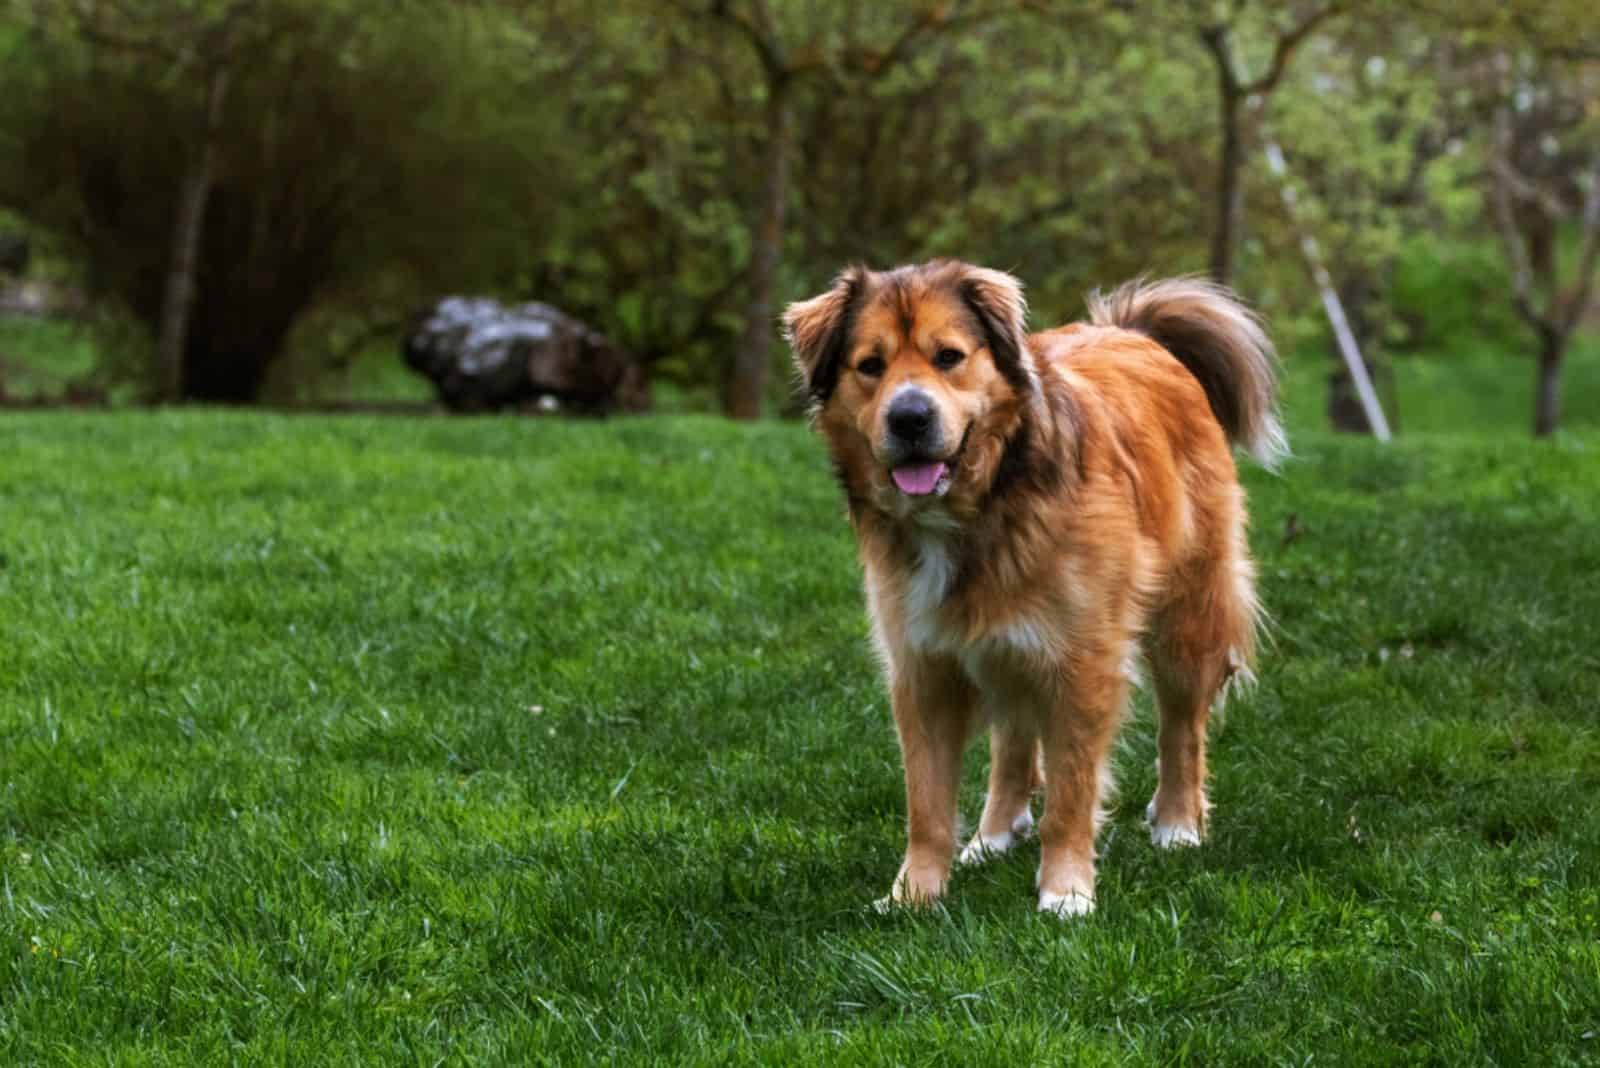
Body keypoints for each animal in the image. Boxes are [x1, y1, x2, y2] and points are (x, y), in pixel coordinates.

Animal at [780, 260, 1280, 920]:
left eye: (948, 356)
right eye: (870, 365)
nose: (909, 418)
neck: (985, 501)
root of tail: (1133, 334)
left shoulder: (1083, 661)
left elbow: (1071, 790)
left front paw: (1065, 890)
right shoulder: (922, 666)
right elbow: (926, 803)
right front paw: (915, 892)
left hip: (1188, 616)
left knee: (1182, 727)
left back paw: (1178, 822)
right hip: (1005, 639)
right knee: (1014, 736)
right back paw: (993, 833)